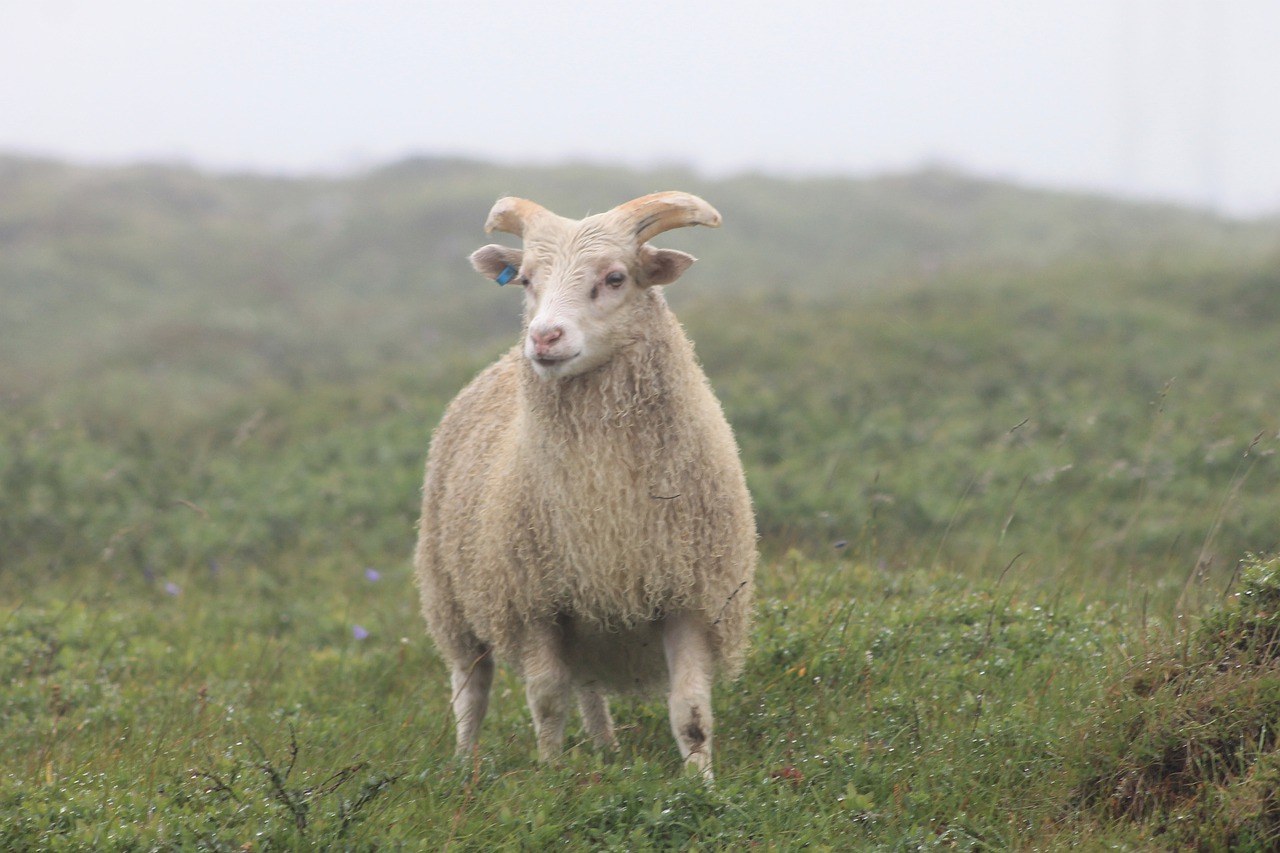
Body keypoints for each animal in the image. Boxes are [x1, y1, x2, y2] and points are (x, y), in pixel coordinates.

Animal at [409, 189, 752, 773]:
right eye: (525, 279)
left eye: (615, 278)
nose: (544, 336)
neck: (603, 499)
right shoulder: (534, 601)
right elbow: (547, 699)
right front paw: (550, 774)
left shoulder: (687, 593)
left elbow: (690, 708)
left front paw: (703, 782)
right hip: (449, 595)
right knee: (470, 687)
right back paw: (464, 766)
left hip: (588, 619)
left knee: (588, 686)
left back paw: (605, 748)